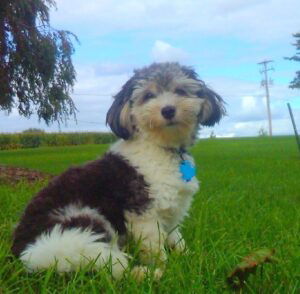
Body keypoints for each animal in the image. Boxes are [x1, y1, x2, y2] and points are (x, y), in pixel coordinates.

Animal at [11, 62, 225, 280]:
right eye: (148, 95)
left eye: (180, 91)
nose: (168, 110)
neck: (161, 148)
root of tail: (21, 252)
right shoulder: (143, 211)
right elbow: (154, 245)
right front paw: (168, 268)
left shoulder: (173, 210)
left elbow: (176, 238)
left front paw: (190, 258)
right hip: (80, 228)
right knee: (113, 265)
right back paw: (146, 274)